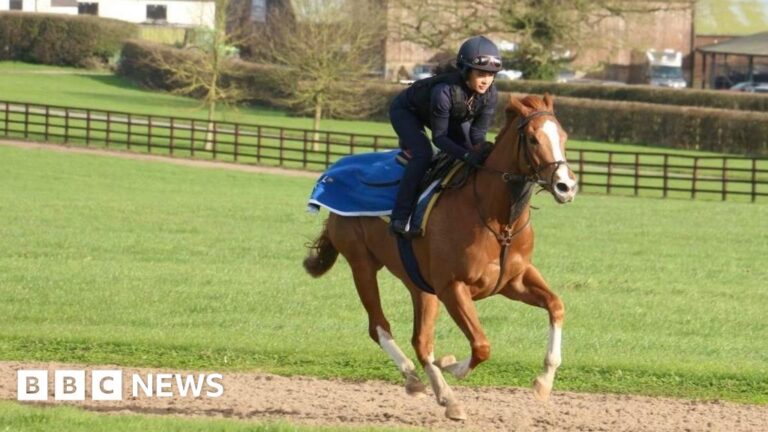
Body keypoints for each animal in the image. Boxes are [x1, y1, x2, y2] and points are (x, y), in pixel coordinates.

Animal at [303, 94, 577, 420]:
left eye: (564, 136)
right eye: (533, 139)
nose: (566, 186)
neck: (498, 219)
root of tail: (332, 172)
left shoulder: (514, 280)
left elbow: (556, 305)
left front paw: (543, 382)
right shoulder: (452, 287)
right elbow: (481, 346)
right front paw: (451, 365)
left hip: (419, 284)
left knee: (421, 341)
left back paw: (441, 393)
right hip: (362, 264)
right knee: (379, 326)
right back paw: (421, 382)